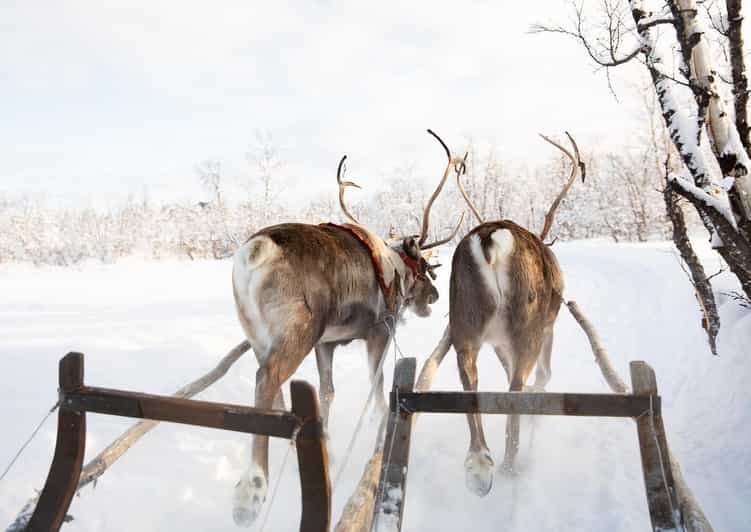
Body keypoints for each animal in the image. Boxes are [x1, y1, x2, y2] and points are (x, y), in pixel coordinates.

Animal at [230, 130, 464, 527]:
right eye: (423, 268)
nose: (434, 296)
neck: (395, 270)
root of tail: (255, 251)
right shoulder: (378, 332)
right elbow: (378, 385)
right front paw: (378, 429)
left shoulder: (328, 343)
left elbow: (327, 392)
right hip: (300, 329)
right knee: (267, 377)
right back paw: (253, 488)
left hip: (258, 333)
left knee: (272, 384)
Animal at [416, 132, 583, 497]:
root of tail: (489, 238)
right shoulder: (548, 327)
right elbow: (543, 375)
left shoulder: (495, 342)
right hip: (528, 324)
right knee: (515, 388)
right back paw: (510, 463)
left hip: (464, 321)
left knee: (470, 380)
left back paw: (480, 465)